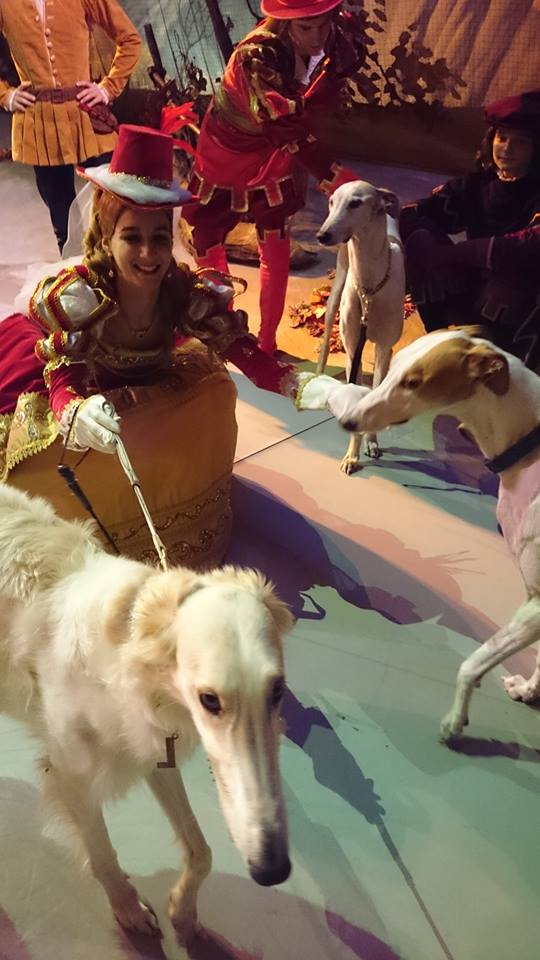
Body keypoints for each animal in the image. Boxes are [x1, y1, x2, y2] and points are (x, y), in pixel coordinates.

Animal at [0, 485, 294, 942]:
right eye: (209, 699)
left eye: (277, 690)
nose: (273, 870)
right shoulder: (70, 776)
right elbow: (103, 855)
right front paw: (129, 910)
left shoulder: (154, 749)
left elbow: (201, 850)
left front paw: (183, 911)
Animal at [301, 330, 540, 741]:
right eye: (395, 368)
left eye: (414, 383)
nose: (347, 421)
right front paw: (528, 690)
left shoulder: (536, 602)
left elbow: (472, 664)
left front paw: (455, 722)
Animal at [316, 179, 405, 473]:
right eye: (331, 201)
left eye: (356, 203)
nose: (322, 235)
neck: (370, 287)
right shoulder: (352, 346)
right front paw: (352, 455)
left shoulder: (385, 347)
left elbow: (374, 394)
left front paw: (371, 441)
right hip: (338, 284)